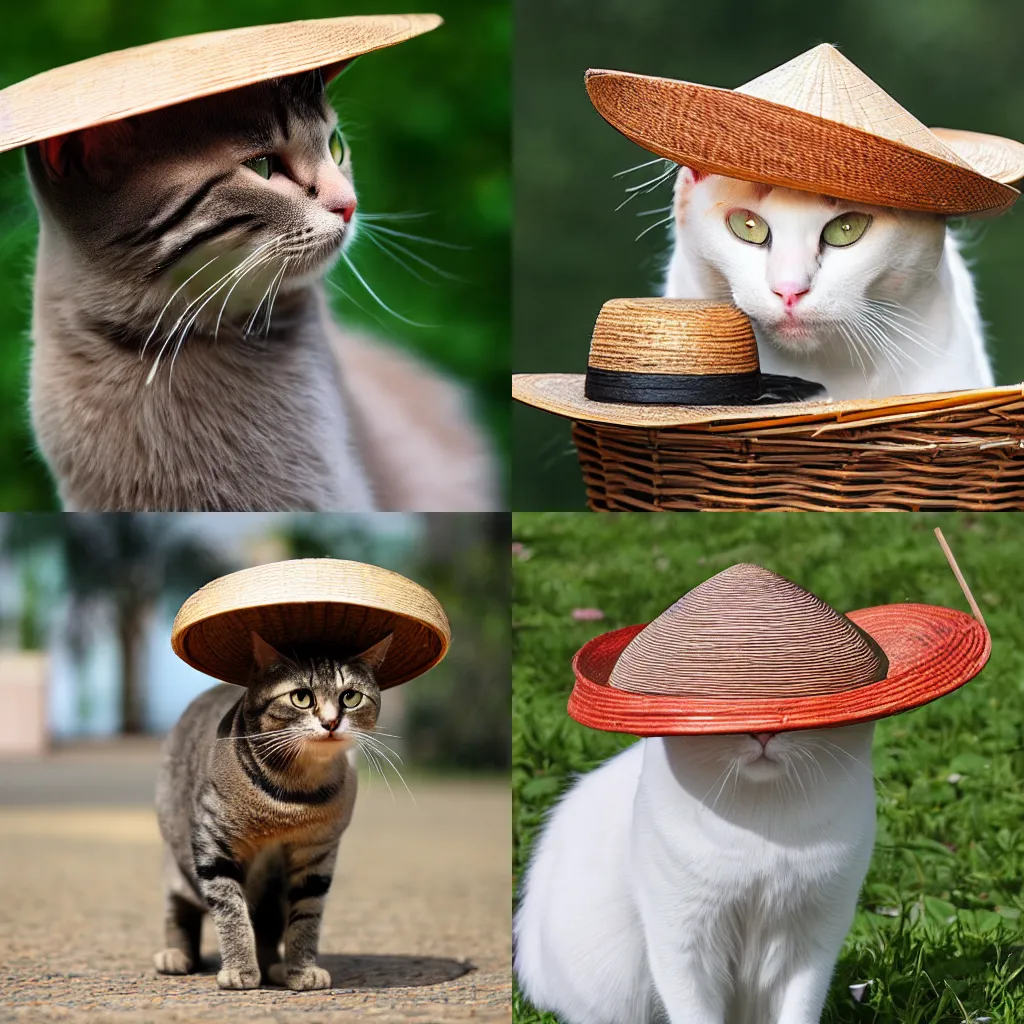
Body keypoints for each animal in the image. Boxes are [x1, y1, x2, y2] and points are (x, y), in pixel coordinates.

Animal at [153, 626, 389, 987]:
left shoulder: (316, 857)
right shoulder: (213, 846)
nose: (331, 722)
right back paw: (177, 954)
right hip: (178, 870)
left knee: (267, 928)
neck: (293, 797)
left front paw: (301, 970)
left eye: (350, 697)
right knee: (179, 912)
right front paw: (240, 969)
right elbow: (231, 912)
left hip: (272, 895)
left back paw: (275, 968)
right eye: (302, 698)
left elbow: (305, 920)